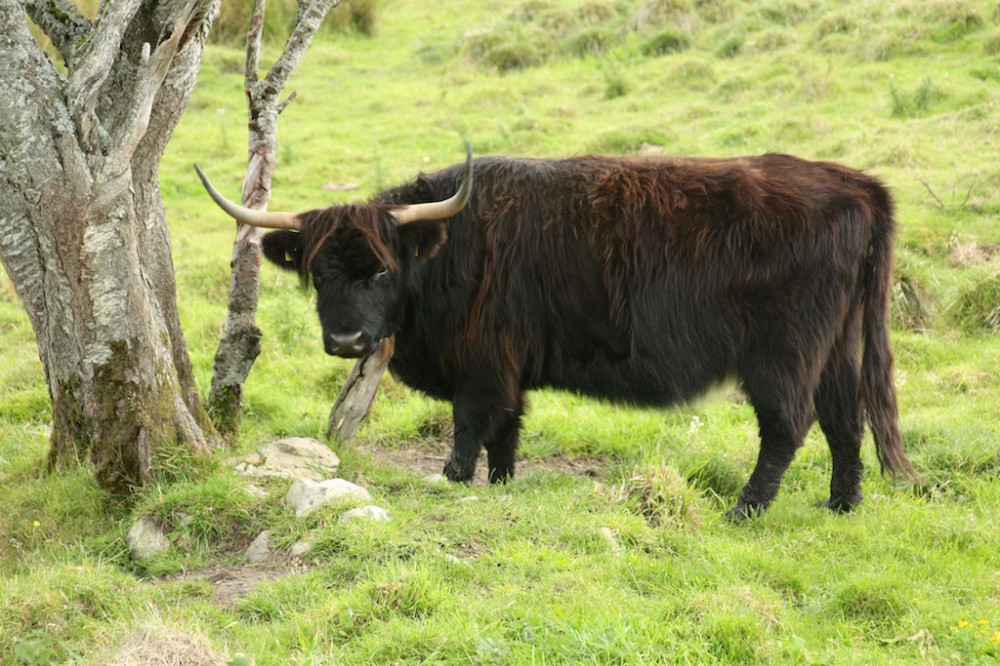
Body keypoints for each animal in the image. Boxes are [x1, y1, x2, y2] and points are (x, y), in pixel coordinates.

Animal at [193, 148, 916, 516]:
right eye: (319, 273)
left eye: (380, 270)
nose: (346, 343)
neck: (450, 246)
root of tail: (858, 184)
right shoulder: (509, 366)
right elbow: (507, 429)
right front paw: (503, 483)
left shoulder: (482, 361)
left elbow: (472, 424)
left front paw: (453, 480)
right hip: (838, 344)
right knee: (846, 418)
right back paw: (841, 504)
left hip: (784, 353)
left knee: (789, 426)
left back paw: (745, 509)